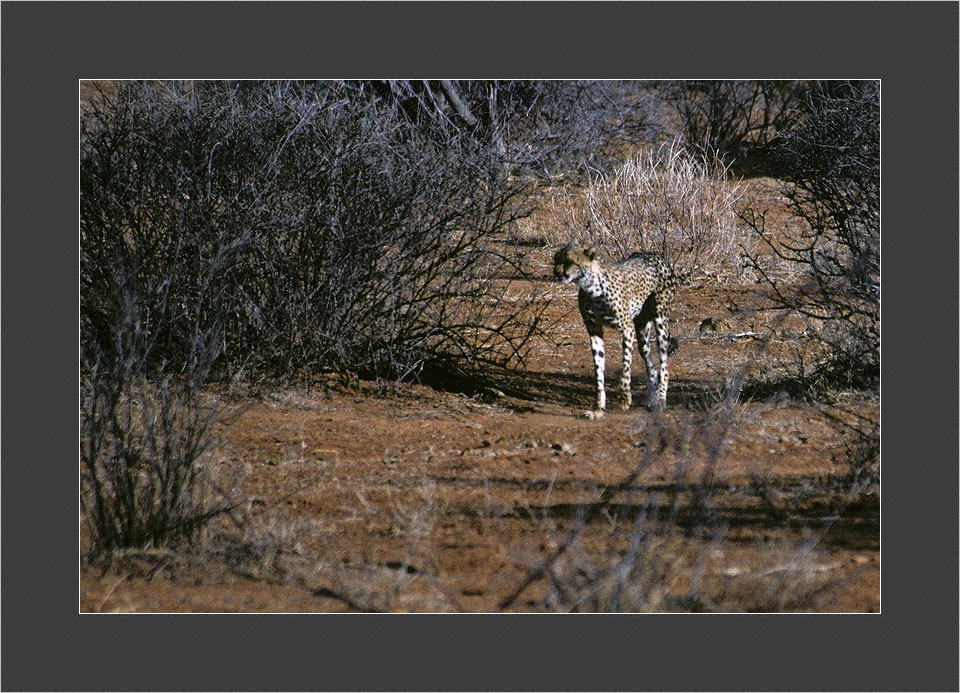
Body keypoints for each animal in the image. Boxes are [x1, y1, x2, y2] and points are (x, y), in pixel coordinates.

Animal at [552, 246, 680, 414]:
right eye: (556, 259)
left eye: (570, 261)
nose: (556, 272)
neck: (592, 288)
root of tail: (654, 254)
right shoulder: (594, 330)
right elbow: (598, 369)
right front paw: (599, 405)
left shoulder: (627, 328)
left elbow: (625, 365)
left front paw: (624, 398)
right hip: (642, 331)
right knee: (651, 368)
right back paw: (652, 399)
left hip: (660, 320)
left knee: (664, 367)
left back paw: (660, 400)